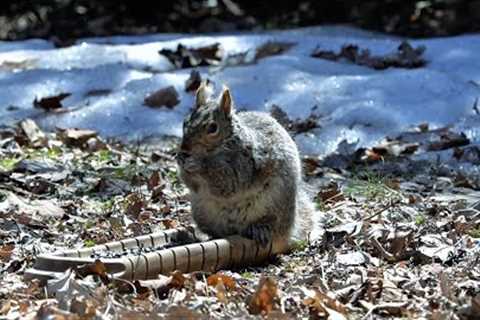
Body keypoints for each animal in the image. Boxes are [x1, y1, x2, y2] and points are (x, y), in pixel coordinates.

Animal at [177, 82, 318, 252]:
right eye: (185, 122)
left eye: (212, 128)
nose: (184, 149)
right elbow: (193, 185)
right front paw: (181, 162)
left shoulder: (246, 163)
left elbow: (228, 182)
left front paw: (198, 164)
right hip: (202, 212)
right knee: (219, 231)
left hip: (276, 204)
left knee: (273, 225)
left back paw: (260, 228)